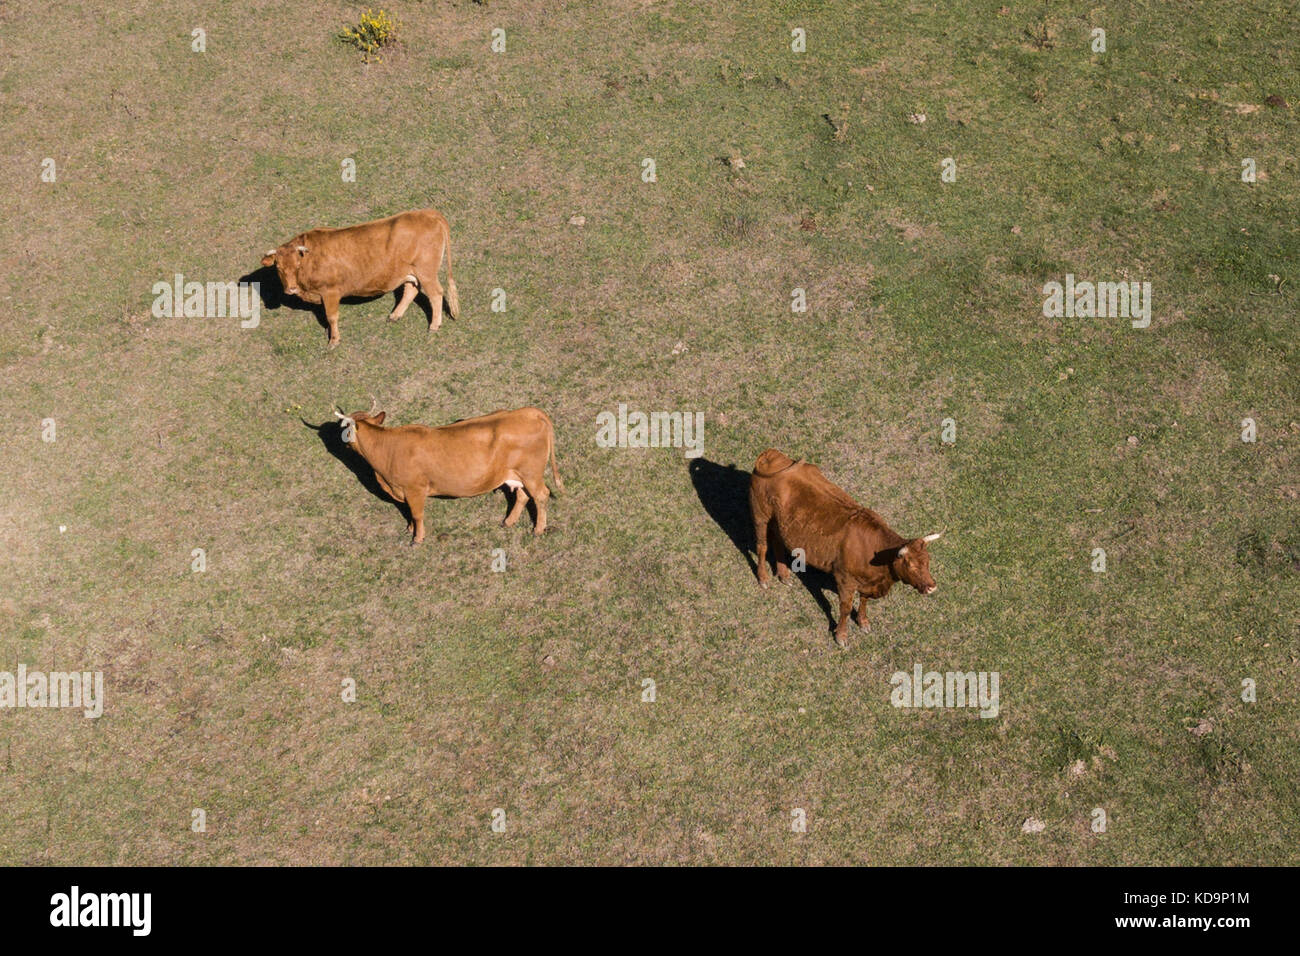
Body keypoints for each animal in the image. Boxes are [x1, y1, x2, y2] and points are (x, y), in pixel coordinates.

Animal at [261, 209, 459, 347]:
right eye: (278, 267)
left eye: (297, 265)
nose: (291, 289)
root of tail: (427, 213)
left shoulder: (330, 292)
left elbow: (331, 316)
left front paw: (334, 340)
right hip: (410, 272)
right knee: (411, 289)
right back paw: (395, 315)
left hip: (426, 272)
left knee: (436, 294)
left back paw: (434, 325)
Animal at [332, 401, 563, 543]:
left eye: (344, 428)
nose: (342, 443)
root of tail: (529, 412)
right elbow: (408, 512)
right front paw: (409, 529)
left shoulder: (414, 489)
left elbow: (416, 514)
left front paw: (417, 538)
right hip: (518, 475)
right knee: (523, 495)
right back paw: (508, 522)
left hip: (531, 473)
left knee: (541, 495)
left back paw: (538, 529)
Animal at [749, 448, 941, 648]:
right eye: (911, 565)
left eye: (928, 562)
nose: (932, 587)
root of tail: (772, 455)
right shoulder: (845, 580)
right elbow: (845, 608)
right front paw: (841, 635)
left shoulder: (867, 582)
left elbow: (864, 600)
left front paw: (863, 622)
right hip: (760, 515)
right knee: (762, 547)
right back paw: (763, 578)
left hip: (780, 524)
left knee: (778, 543)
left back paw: (784, 575)